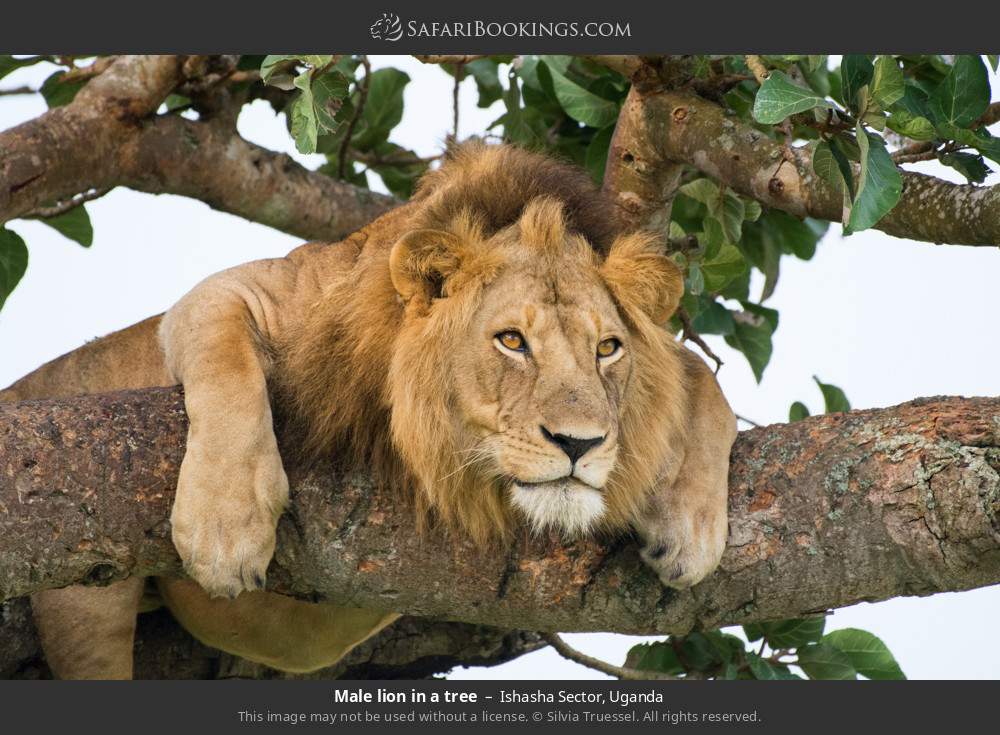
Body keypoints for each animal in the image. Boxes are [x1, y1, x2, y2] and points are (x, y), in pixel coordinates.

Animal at [3, 142, 740, 680]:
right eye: (511, 341)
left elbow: (702, 380)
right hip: (85, 606)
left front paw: (690, 525)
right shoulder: (237, 294)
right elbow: (225, 363)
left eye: (607, 349)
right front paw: (225, 526)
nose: (580, 443)